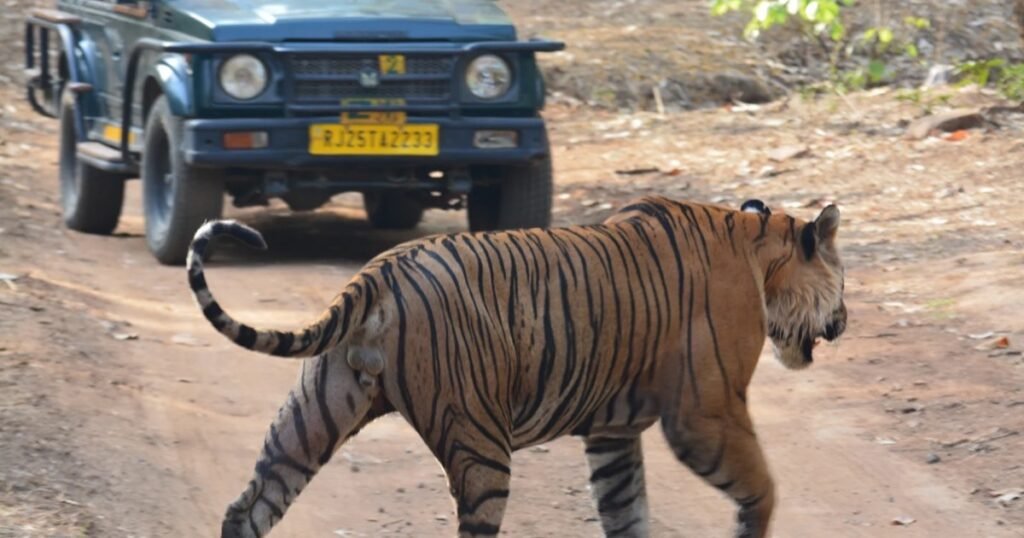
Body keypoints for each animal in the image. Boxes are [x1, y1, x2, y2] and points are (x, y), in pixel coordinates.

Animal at [186, 195, 847, 538]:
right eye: (843, 280)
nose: (844, 321)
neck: (757, 245)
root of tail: (379, 271)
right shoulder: (707, 411)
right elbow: (761, 488)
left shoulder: (612, 431)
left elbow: (626, 508)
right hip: (480, 439)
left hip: (312, 414)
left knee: (249, 508)